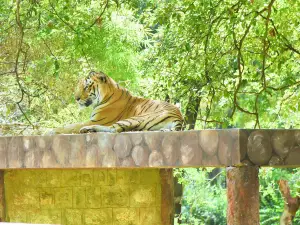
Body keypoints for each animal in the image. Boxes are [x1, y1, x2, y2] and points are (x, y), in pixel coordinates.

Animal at [49, 71, 184, 134]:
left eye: (87, 87)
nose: (76, 98)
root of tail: (179, 118)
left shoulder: (96, 120)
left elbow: (71, 126)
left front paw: (50, 130)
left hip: (136, 118)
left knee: (114, 129)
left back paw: (87, 129)